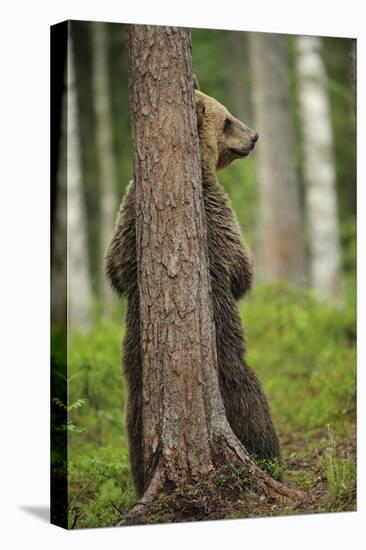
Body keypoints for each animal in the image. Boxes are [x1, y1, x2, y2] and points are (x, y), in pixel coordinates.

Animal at [104, 80, 282, 498]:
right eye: (229, 119)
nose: (254, 136)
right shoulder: (216, 210)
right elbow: (239, 268)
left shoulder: (127, 215)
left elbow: (115, 267)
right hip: (227, 361)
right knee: (252, 401)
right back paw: (271, 460)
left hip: (135, 381)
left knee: (134, 426)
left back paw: (142, 476)